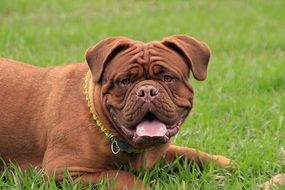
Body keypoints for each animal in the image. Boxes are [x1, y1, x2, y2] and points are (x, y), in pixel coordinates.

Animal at [0, 34, 230, 189]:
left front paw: (225, 164)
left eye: (168, 78)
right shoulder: (64, 171)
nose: (147, 91)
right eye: (125, 81)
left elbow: (189, 153)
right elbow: (121, 176)